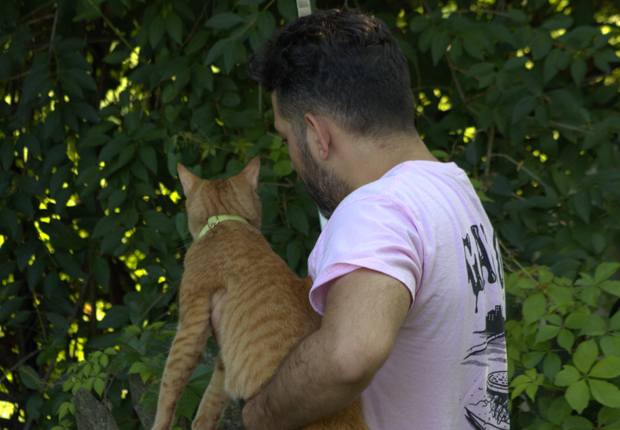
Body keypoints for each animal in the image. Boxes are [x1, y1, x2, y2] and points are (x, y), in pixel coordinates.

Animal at [152, 157, 368, 430]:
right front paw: (203, 422)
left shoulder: (190, 326)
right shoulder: (227, 352)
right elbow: (215, 394)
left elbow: (168, 388)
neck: (224, 221)